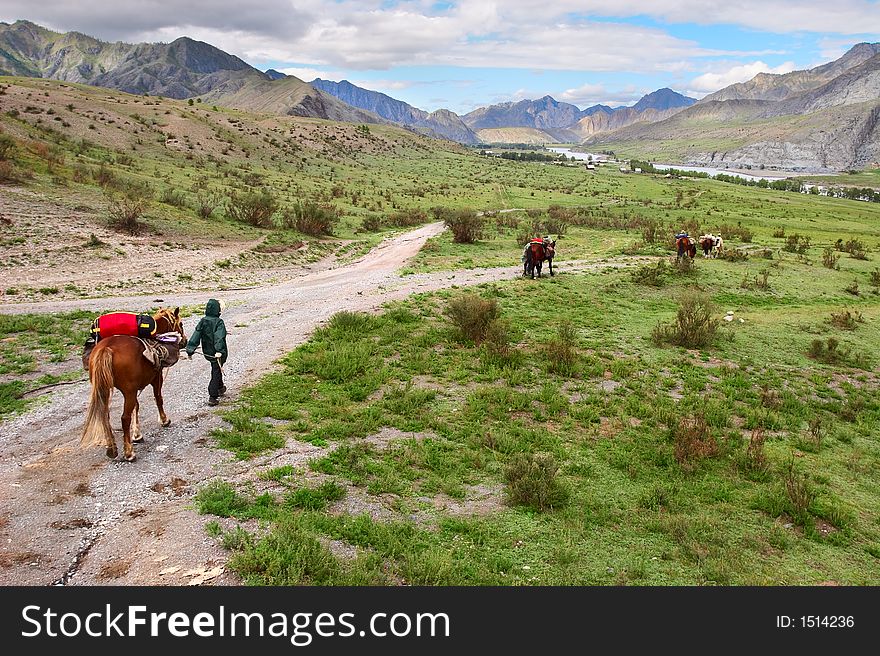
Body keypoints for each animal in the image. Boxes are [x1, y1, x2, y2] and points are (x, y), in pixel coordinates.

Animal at [81, 308, 186, 462]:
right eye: (181, 324)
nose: (185, 341)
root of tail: (106, 349)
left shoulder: (135, 387)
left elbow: (136, 406)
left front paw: (137, 434)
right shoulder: (156, 379)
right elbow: (158, 398)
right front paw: (164, 420)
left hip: (105, 390)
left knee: (105, 416)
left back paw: (112, 449)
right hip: (128, 391)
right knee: (124, 418)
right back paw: (129, 453)